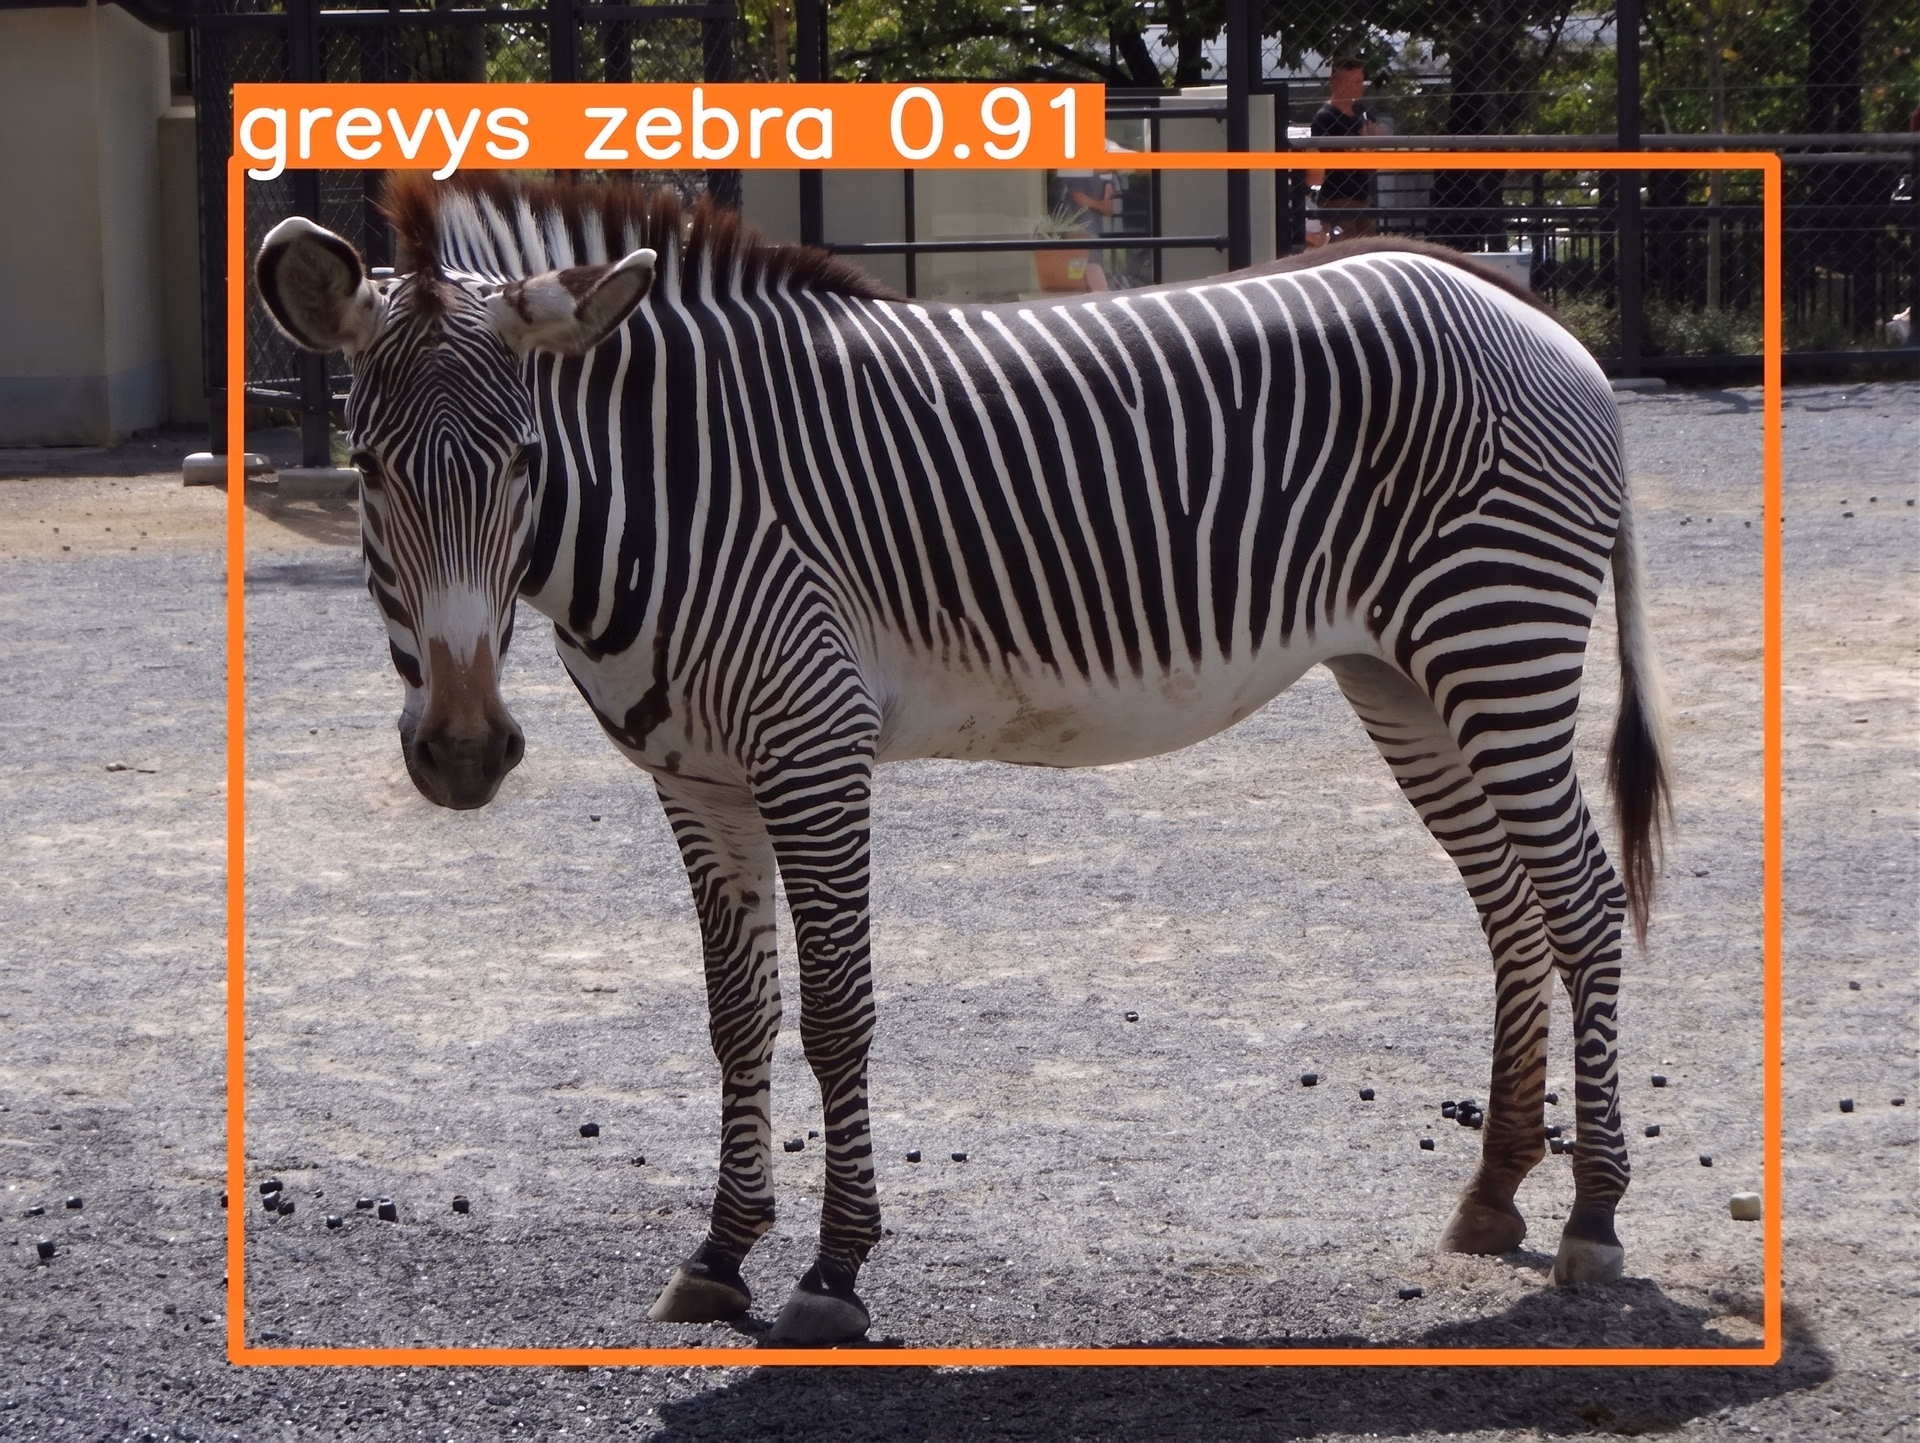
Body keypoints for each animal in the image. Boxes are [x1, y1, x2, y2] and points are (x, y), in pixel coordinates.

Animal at [255, 172, 1670, 1346]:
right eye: (368, 470)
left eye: (526, 460)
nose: (463, 753)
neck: (673, 501)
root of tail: (1510, 301)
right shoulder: (698, 778)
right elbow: (734, 1017)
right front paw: (720, 1254)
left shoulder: (812, 749)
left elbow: (835, 1015)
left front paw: (833, 1273)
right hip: (1405, 679)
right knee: (1512, 912)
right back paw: (1494, 1193)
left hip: (1499, 642)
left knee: (1585, 904)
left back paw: (1595, 1216)